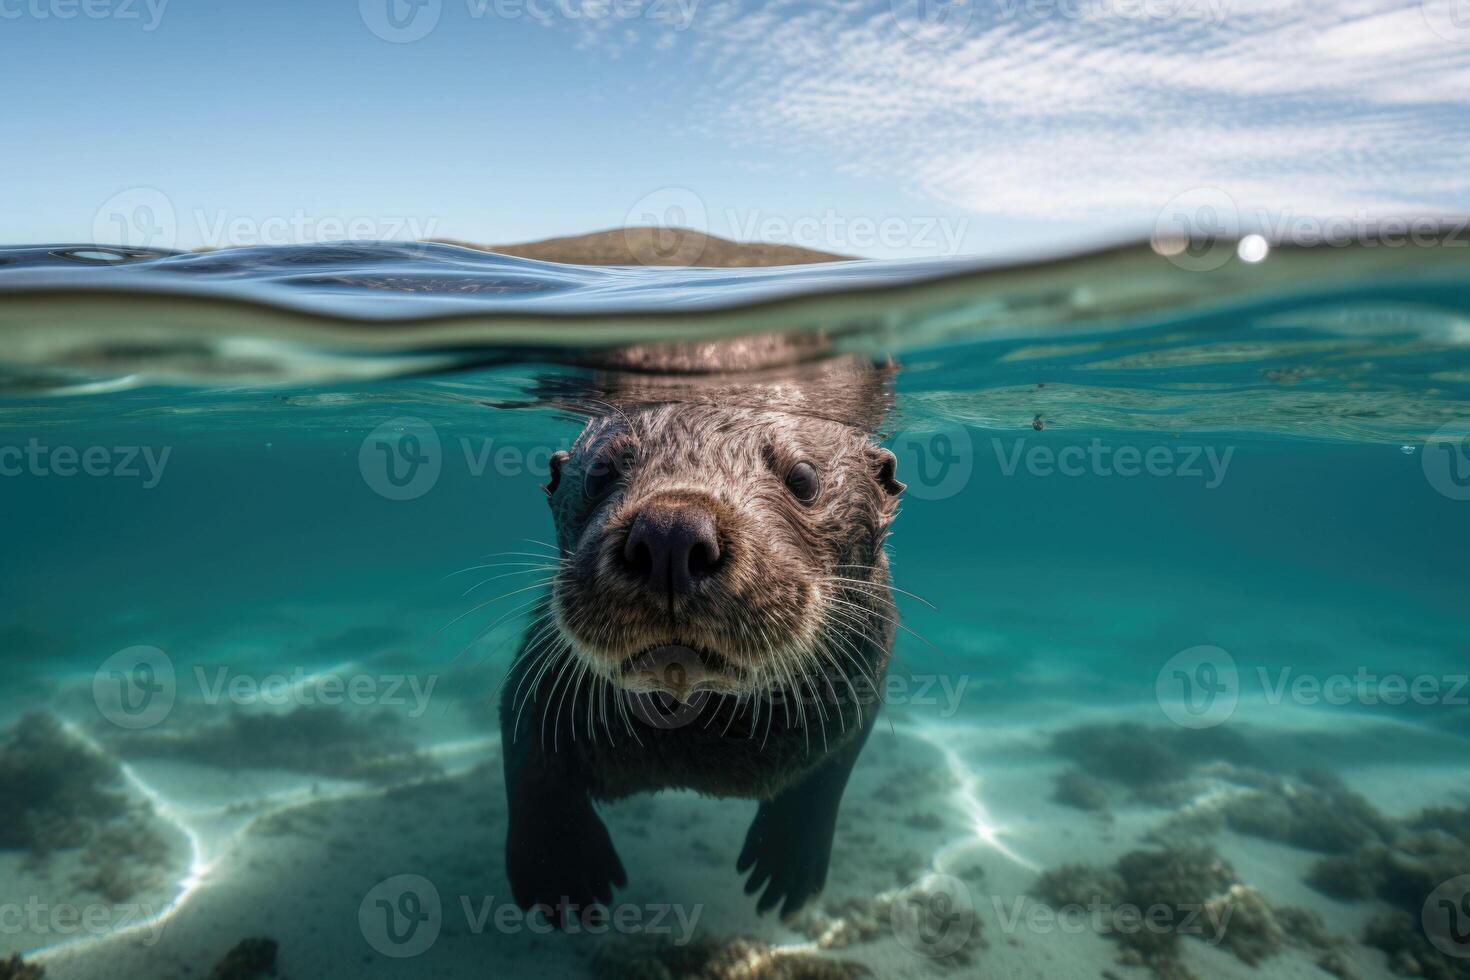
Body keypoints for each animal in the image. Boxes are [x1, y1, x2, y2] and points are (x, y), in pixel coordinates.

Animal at [499, 351, 899, 922]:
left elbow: (829, 776)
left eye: (802, 478)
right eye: (599, 474)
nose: (672, 532)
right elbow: (527, 755)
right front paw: (560, 870)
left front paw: (787, 861)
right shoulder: (540, 672)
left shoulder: (862, 696)